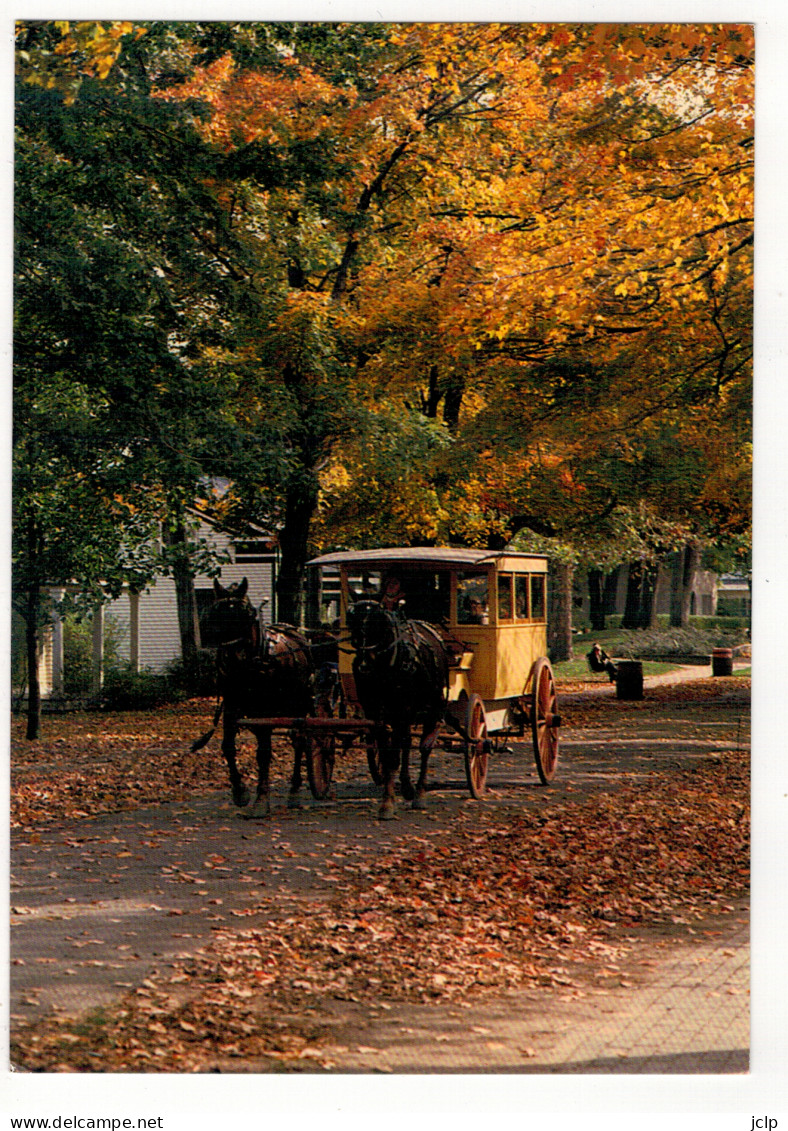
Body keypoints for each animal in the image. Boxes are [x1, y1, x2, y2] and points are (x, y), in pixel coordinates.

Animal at [195, 583, 314, 814]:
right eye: (216, 613)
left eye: (247, 614)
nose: (234, 656)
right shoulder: (232, 706)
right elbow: (228, 746)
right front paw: (240, 791)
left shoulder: (264, 711)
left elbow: (263, 753)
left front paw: (261, 799)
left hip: (299, 704)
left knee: (299, 741)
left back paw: (295, 791)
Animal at [345, 601, 447, 823]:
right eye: (354, 626)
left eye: (378, 627)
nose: (364, 666)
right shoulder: (377, 715)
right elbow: (387, 756)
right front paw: (388, 800)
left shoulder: (402, 711)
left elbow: (394, 757)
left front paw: (388, 805)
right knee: (406, 742)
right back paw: (408, 787)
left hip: (432, 708)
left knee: (425, 748)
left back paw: (419, 794)